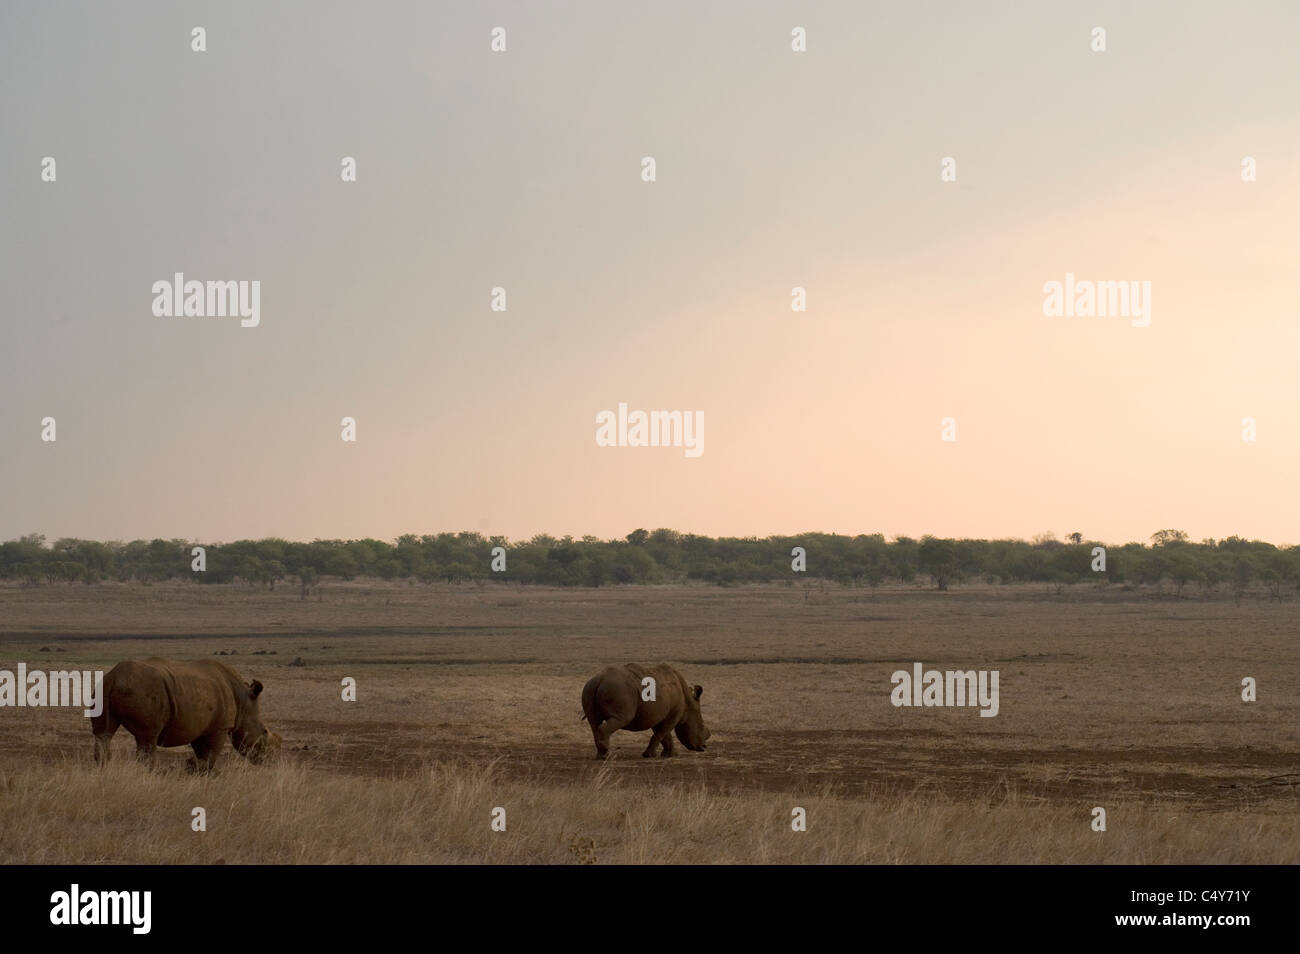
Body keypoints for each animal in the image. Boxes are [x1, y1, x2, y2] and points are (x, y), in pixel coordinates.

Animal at [91, 660, 279, 774]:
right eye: (264, 731)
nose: (270, 760)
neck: (243, 702)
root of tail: (115, 678)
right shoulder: (220, 727)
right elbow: (211, 755)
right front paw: (206, 775)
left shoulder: (201, 726)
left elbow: (202, 754)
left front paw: (196, 771)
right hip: (144, 690)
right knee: (147, 737)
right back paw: (151, 776)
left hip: (101, 688)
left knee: (103, 734)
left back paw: (103, 771)